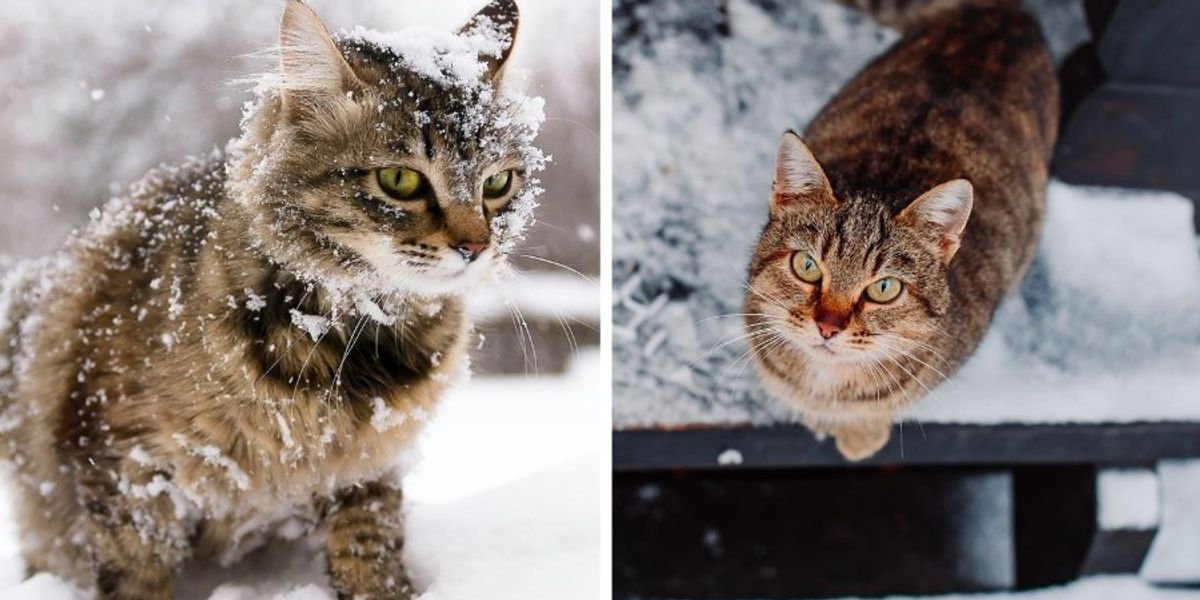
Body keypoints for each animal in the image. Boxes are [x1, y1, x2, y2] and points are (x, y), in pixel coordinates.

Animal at [0, 2, 544, 597]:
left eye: (498, 184)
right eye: (399, 180)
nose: (476, 246)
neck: (354, 344)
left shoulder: (365, 469)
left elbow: (369, 550)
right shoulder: (125, 458)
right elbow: (136, 572)